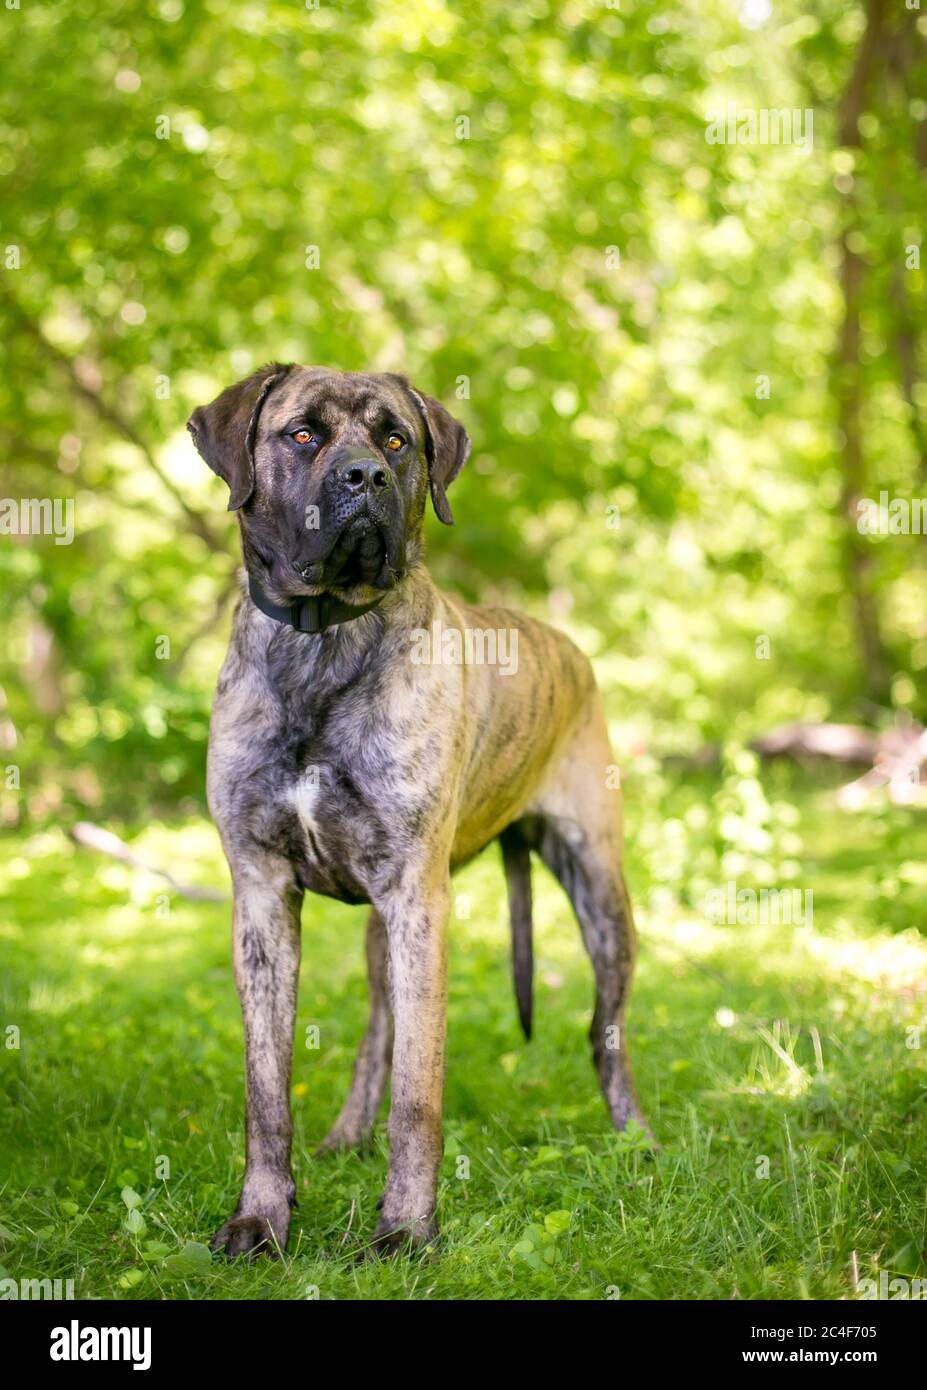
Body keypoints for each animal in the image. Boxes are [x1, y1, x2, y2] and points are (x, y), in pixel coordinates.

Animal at [189, 366, 653, 1262]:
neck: (322, 641)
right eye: (302, 434)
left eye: (396, 439)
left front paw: (406, 1227)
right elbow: (266, 1092)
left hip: (598, 889)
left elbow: (419, 1092)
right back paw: (345, 1135)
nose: (364, 477)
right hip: (383, 926)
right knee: (376, 1031)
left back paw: (634, 1137)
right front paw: (261, 1218)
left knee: (604, 1032)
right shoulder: (261, 894)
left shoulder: (417, 902)